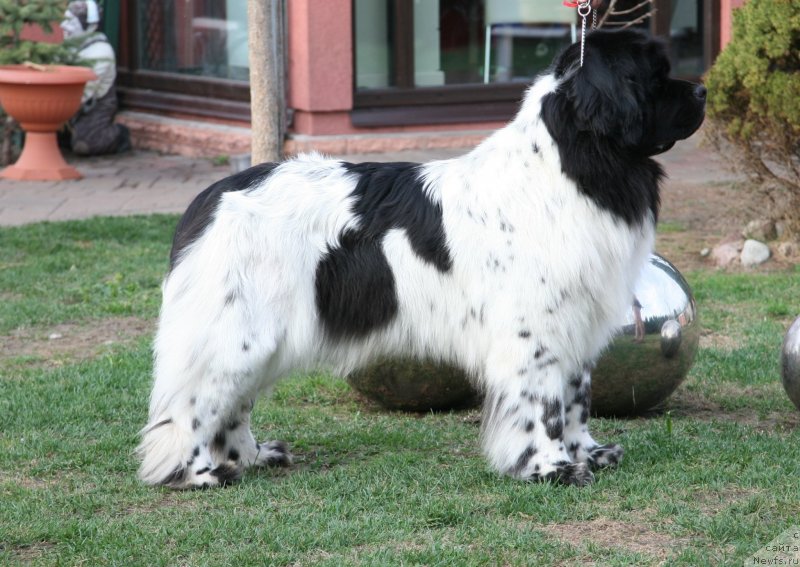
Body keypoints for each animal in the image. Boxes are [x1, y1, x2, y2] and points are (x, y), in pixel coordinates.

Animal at [138, 28, 708, 490]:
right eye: (655, 76)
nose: (703, 89)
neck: (573, 164)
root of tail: (208, 201)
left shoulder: (578, 323)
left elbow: (576, 399)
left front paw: (589, 454)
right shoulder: (536, 332)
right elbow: (545, 406)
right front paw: (552, 469)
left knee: (233, 405)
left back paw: (253, 457)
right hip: (239, 332)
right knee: (196, 405)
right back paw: (202, 475)